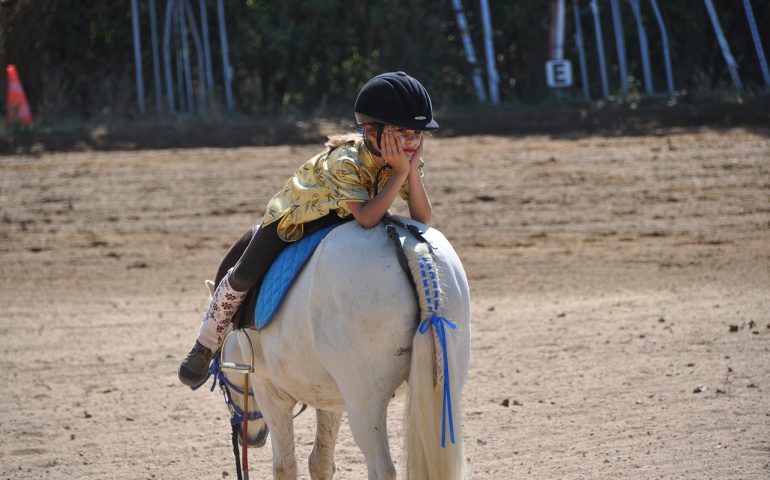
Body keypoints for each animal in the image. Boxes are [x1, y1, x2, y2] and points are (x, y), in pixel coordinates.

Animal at [216, 218, 468, 480]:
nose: (252, 438)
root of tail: (408, 244)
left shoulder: (270, 392)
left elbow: (285, 466)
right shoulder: (331, 399)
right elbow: (321, 463)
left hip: (366, 404)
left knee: (382, 468)